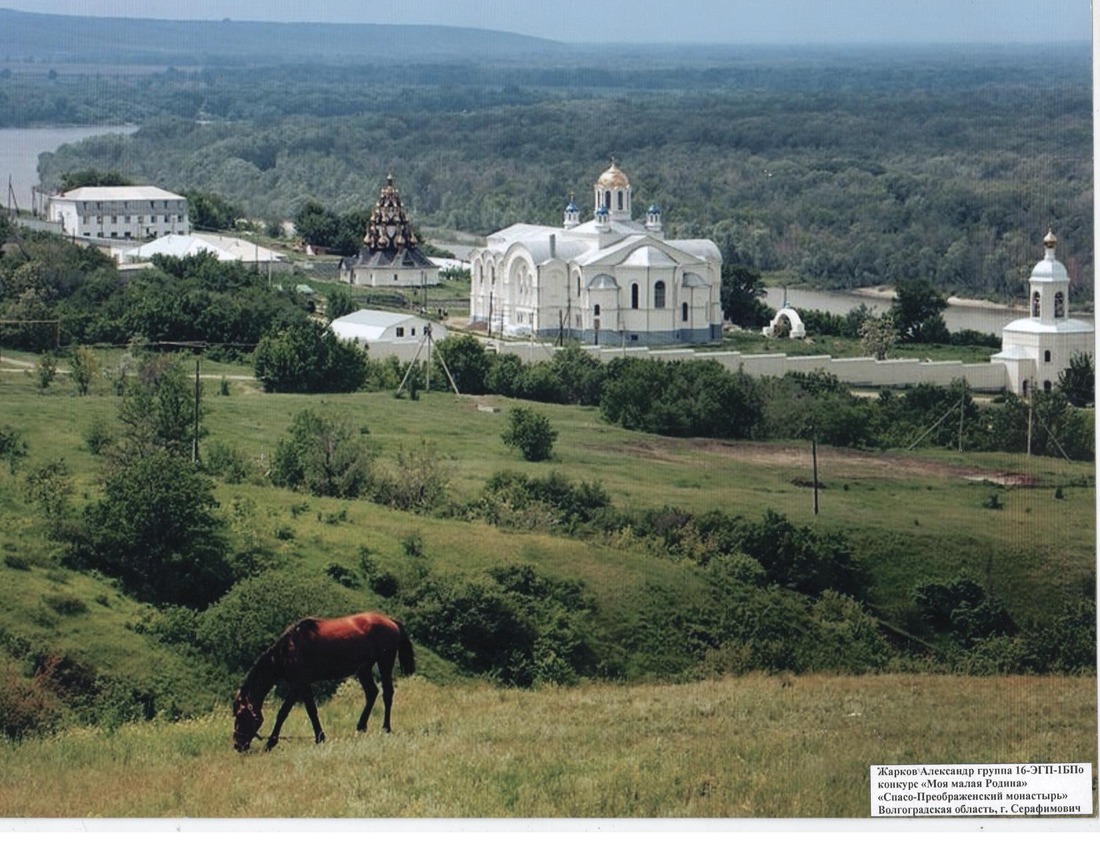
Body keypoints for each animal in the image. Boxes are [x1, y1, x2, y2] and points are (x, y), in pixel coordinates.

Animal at [232, 611, 415, 752]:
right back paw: (361, 727)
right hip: (364, 670)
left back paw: (386, 728)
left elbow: (283, 712)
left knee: (387, 694)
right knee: (372, 693)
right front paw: (320, 737)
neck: (288, 650)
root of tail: (391, 621)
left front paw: (270, 743)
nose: (237, 745)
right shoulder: (304, 685)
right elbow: (311, 711)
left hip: (385, 662)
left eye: (241, 715)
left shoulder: (298, 684)